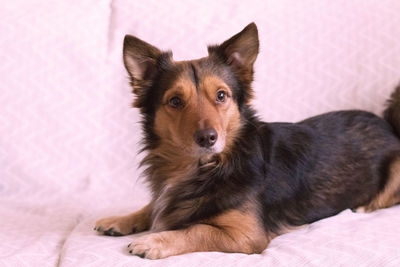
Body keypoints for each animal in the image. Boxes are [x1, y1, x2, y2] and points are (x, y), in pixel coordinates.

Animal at [94, 22, 400, 260]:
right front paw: (121, 219)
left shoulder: (246, 236)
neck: (206, 167)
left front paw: (154, 240)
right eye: (175, 101)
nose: (207, 138)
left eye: (221, 95)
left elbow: (196, 229)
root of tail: (388, 124)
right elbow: (156, 206)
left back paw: (364, 206)